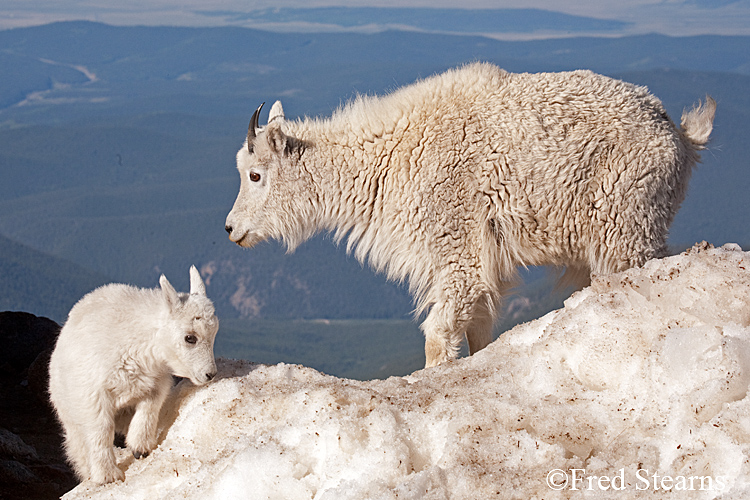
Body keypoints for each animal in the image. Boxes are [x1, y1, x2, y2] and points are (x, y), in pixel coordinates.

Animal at [228, 61, 716, 368]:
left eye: (255, 174)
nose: (232, 228)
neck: (393, 158)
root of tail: (681, 137)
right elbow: (480, 330)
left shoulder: (456, 245)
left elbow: (439, 333)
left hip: (625, 226)